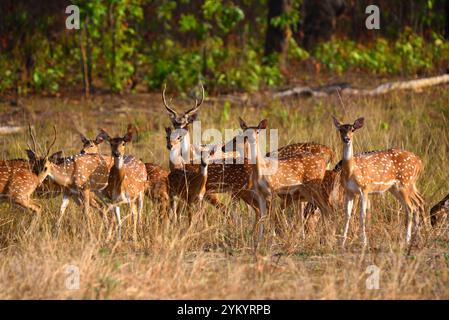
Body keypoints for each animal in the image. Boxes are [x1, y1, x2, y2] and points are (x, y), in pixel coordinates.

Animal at [332, 116, 424, 246]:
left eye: (352, 129)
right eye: (340, 130)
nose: (347, 139)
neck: (351, 170)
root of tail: (420, 162)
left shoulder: (364, 188)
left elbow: (362, 214)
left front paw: (363, 242)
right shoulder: (349, 191)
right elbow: (347, 215)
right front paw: (342, 242)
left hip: (405, 183)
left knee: (411, 207)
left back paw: (407, 239)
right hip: (395, 188)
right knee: (414, 205)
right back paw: (414, 238)